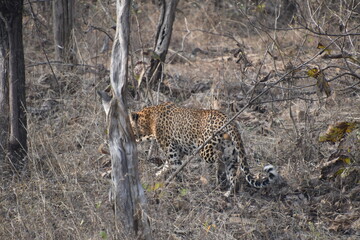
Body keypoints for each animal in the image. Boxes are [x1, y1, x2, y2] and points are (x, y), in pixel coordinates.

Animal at [130, 101, 278, 197]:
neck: (149, 120)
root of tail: (228, 121)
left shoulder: (171, 149)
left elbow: (174, 165)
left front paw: (175, 184)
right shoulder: (178, 150)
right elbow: (168, 165)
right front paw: (160, 174)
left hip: (205, 148)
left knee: (218, 157)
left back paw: (219, 175)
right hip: (232, 153)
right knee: (233, 174)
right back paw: (228, 192)